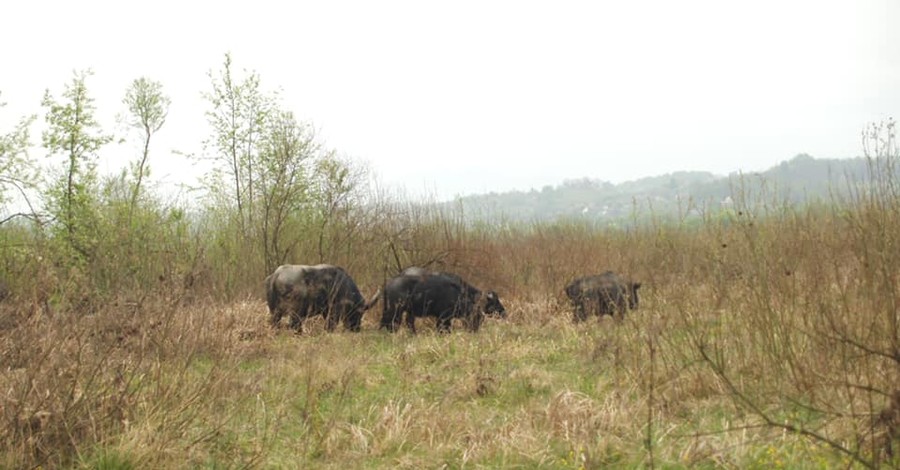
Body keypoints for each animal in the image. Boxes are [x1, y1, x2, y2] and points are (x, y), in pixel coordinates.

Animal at [376, 268, 506, 334]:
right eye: (494, 302)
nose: (504, 313)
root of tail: (389, 284)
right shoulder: (443, 317)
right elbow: (444, 330)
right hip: (395, 311)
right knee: (391, 323)